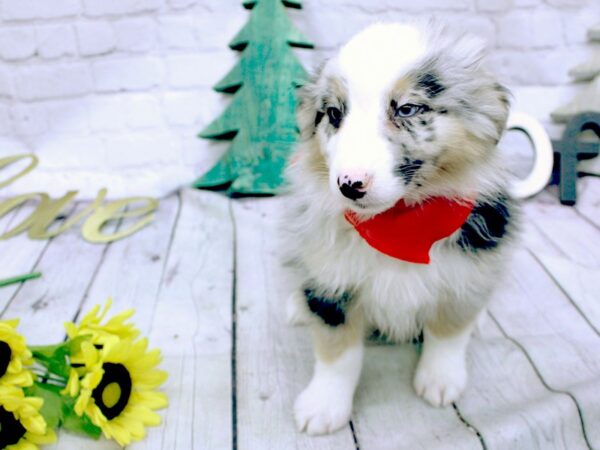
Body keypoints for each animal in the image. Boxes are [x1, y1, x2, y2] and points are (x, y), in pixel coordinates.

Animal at [284, 22, 516, 436]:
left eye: (407, 108)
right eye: (333, 113)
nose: (349, 185)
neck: (398, 223)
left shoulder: (466, 272)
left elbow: (448, 332)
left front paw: (440, 381)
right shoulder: (331, 282)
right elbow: (336, 352)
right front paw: (324, 405)